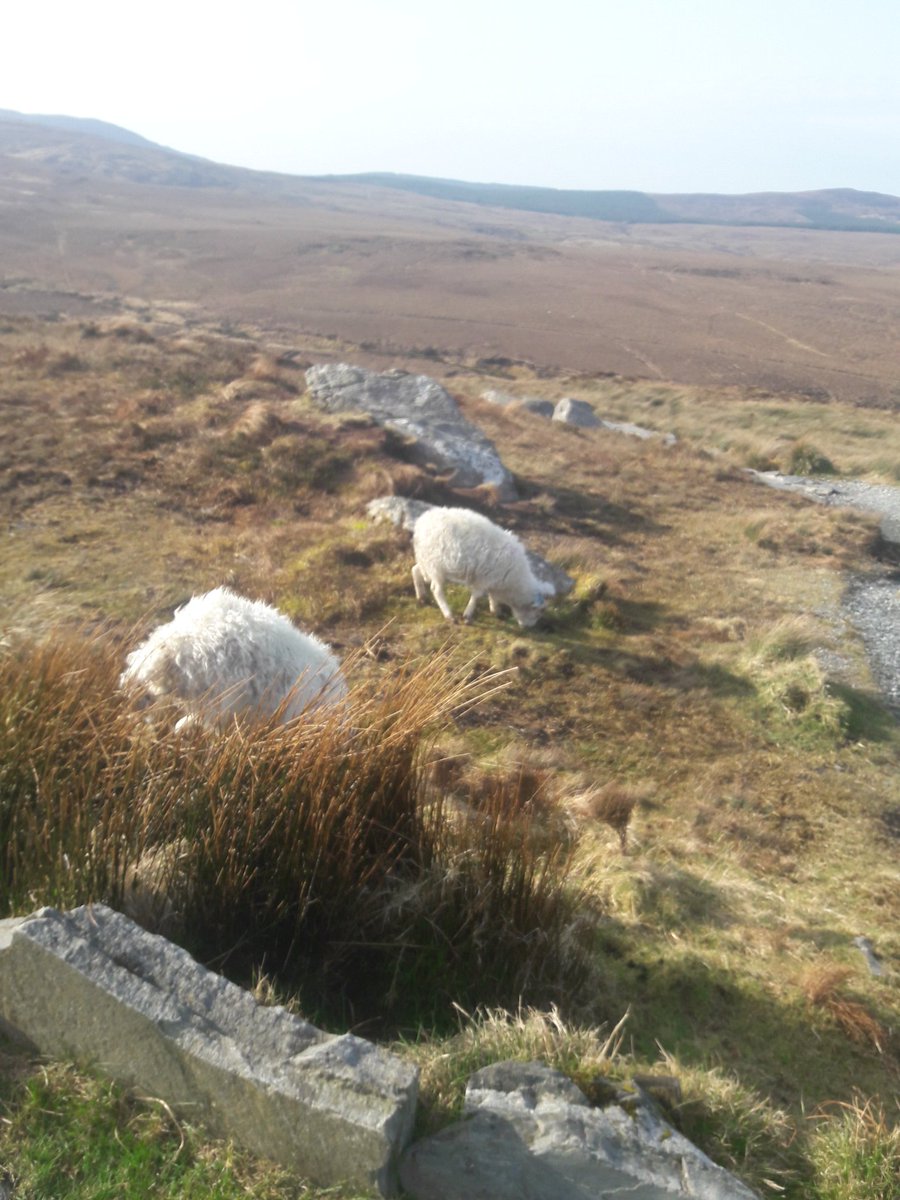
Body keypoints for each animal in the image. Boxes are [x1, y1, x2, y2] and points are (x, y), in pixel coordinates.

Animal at [412, 506, 554, 628]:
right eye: (539, 612)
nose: (528, 627)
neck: (514, 582)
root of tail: (420, 523)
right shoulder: (484, 579)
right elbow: (477, 596)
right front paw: (468, 616)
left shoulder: (493, 581)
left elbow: (493, 597)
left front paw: (496, 611)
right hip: (436, 566)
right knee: (436, 590)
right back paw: (449, 615)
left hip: (426, 561)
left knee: (415, 570)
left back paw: (421, 597)